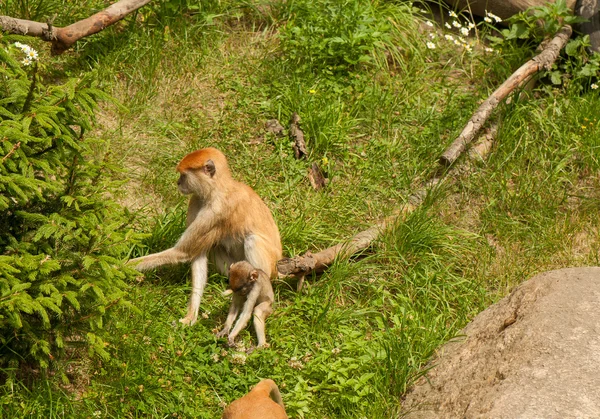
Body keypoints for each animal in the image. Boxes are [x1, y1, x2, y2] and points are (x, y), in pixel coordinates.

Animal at [127, 147, 282, 324]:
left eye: (183, 175)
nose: (178, 183)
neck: (218, 189)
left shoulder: (216, 211)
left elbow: (183, 252)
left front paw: (118, 266)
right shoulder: (196, 199)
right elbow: (197, 254)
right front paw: (191, 315)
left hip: (268, 267)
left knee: (252, 240)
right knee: (215, 247)